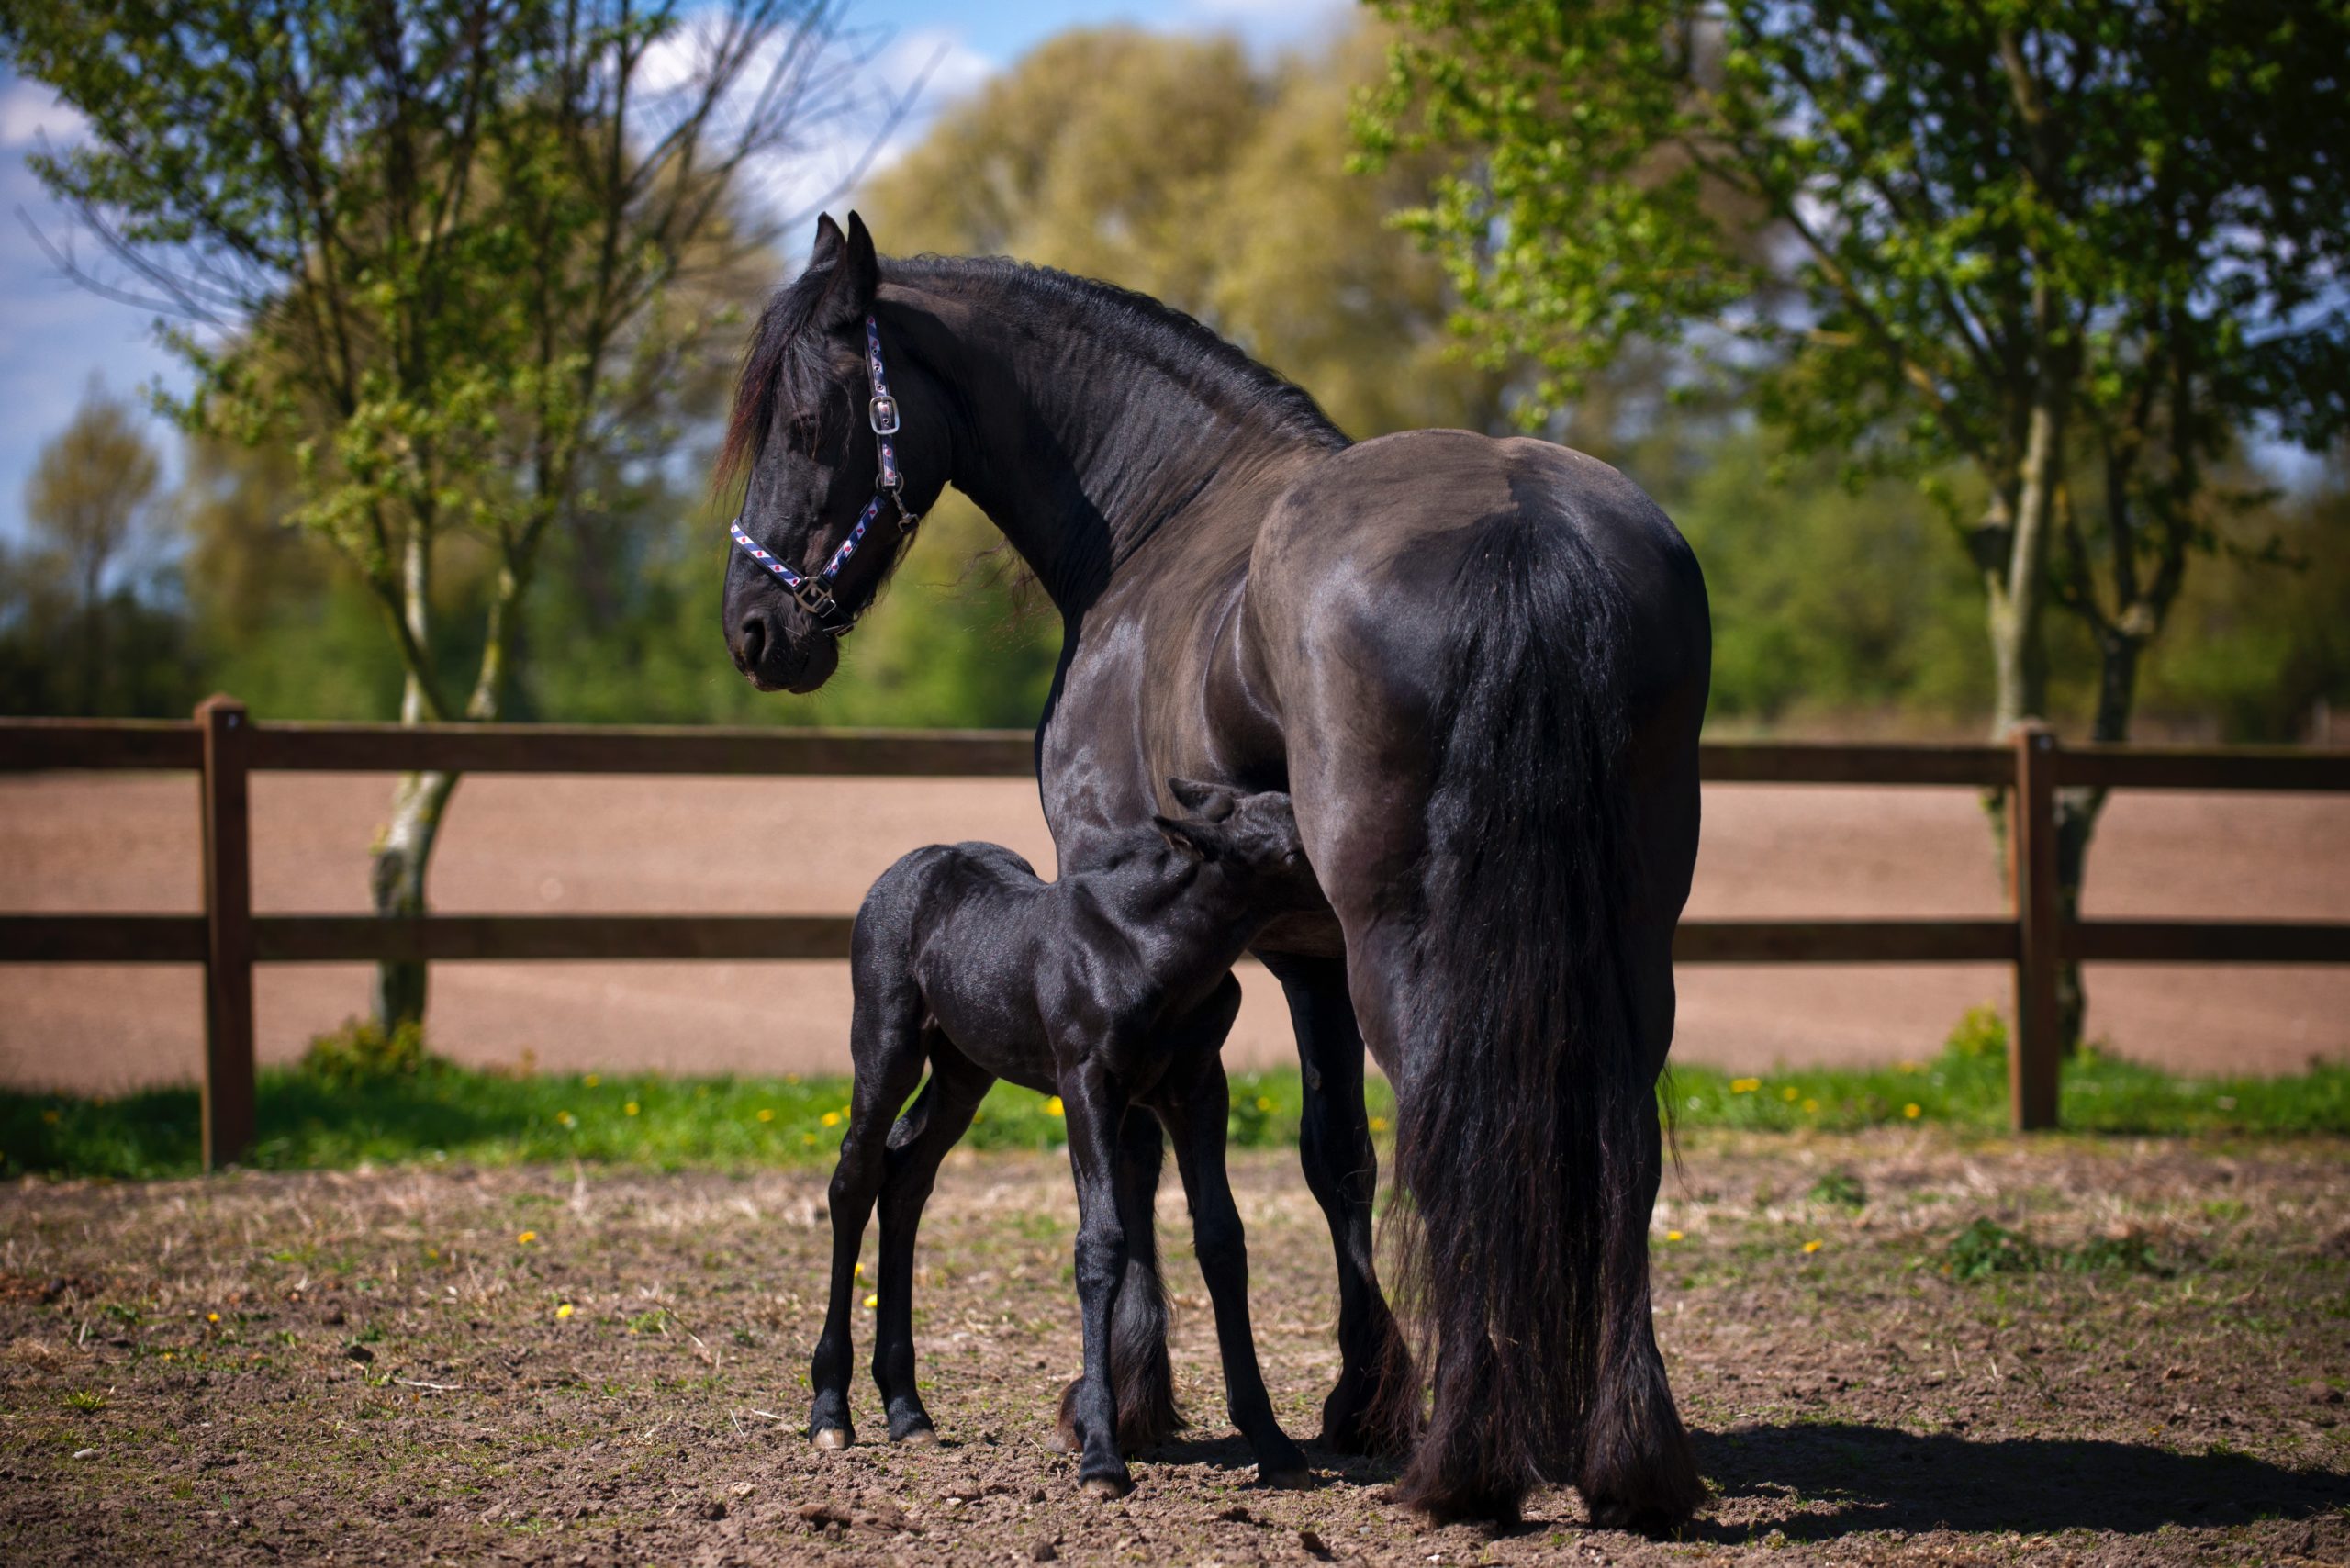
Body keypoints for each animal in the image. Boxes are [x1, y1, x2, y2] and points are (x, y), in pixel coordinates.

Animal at [808, 780, 1325, 1495]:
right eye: (1295, 846)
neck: (1150, 949)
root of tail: (909, 867)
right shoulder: (1087, 1083)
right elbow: (1101, 1244)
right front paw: (1101, 1456)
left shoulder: (1199, 1087)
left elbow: (1222, 1238)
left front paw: (1272, 1442)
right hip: (886, 1044)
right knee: (855, 1179)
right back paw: (831, 1411)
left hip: (964, 1068)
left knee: (906, 1177)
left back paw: (908, 1411)